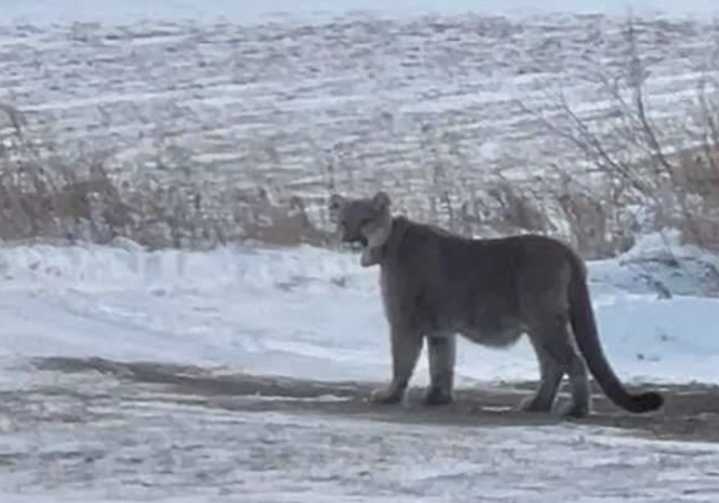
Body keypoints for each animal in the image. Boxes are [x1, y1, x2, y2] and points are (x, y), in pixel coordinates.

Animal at [329, 191, 663, 418]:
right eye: (344, 221)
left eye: (365, 220)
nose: (349, 239)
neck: (388, 244)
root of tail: (567, 249)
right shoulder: (440, 329)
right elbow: (441, 363)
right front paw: (437, 398)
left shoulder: (404, 321)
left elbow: (402, 362)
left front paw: (388, 396)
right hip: (537, 326)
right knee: (552, 365)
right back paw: (537, 404)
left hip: (545, 320)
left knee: (573, 361)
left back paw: (574, 410)